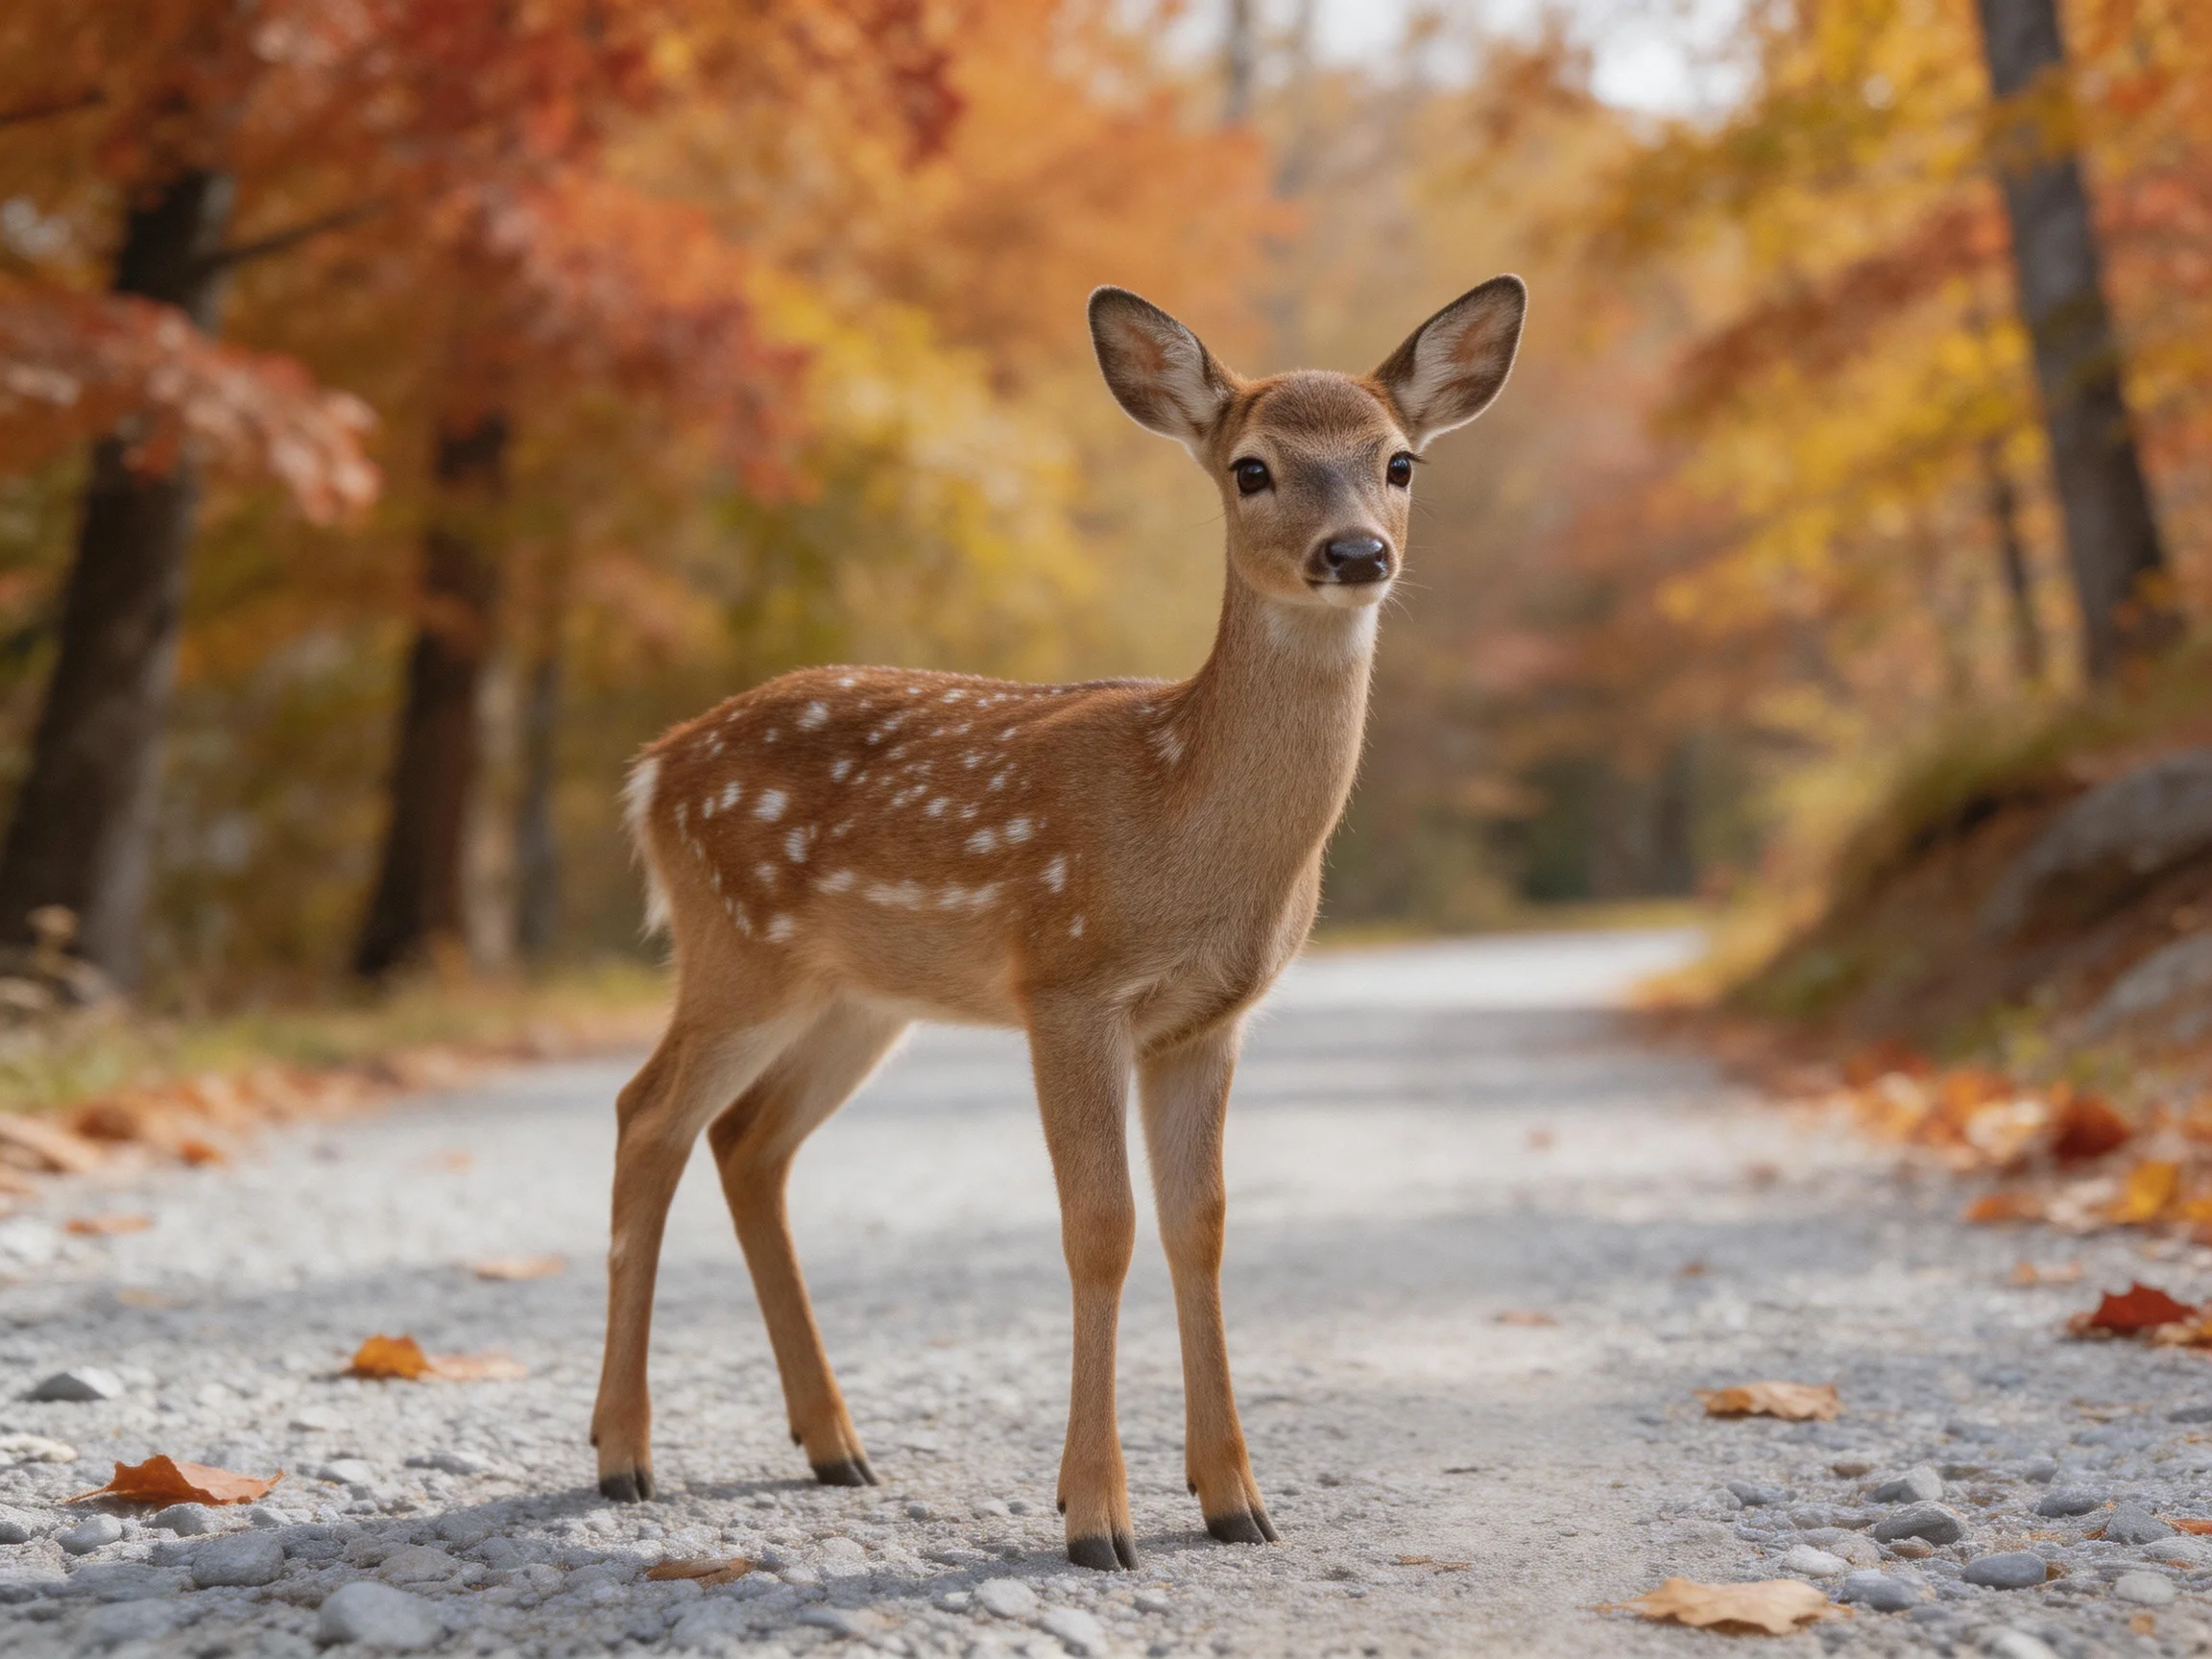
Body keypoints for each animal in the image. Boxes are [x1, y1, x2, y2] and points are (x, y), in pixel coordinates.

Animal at [590, 275, 1528, 1570]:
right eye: (1252, 468)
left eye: (1399, 462)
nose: (1355, 553)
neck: (1183, 816)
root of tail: (652, 771)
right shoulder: (1069, 984)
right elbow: (1102, 1226)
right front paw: (1096, 1517)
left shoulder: (1209, 1020)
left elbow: (1200, 1226)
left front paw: (1236, 1500)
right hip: (737, 945)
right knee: (648, 1116)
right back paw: (623, 1456)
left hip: (859, 999)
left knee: (748, 1142)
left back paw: (834, 1445)